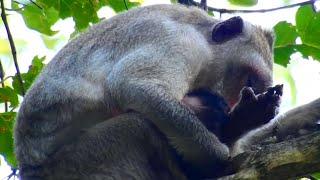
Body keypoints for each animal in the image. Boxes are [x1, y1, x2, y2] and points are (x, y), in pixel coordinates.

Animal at [14, 3, 284, 179]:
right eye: (249, 79)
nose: (234, 102)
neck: (202, 35)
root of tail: (29, 170)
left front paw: (240, 121)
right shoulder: (180, 42)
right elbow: (135, 86)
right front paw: (219, 157)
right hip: (79, 164)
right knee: (136, 126)